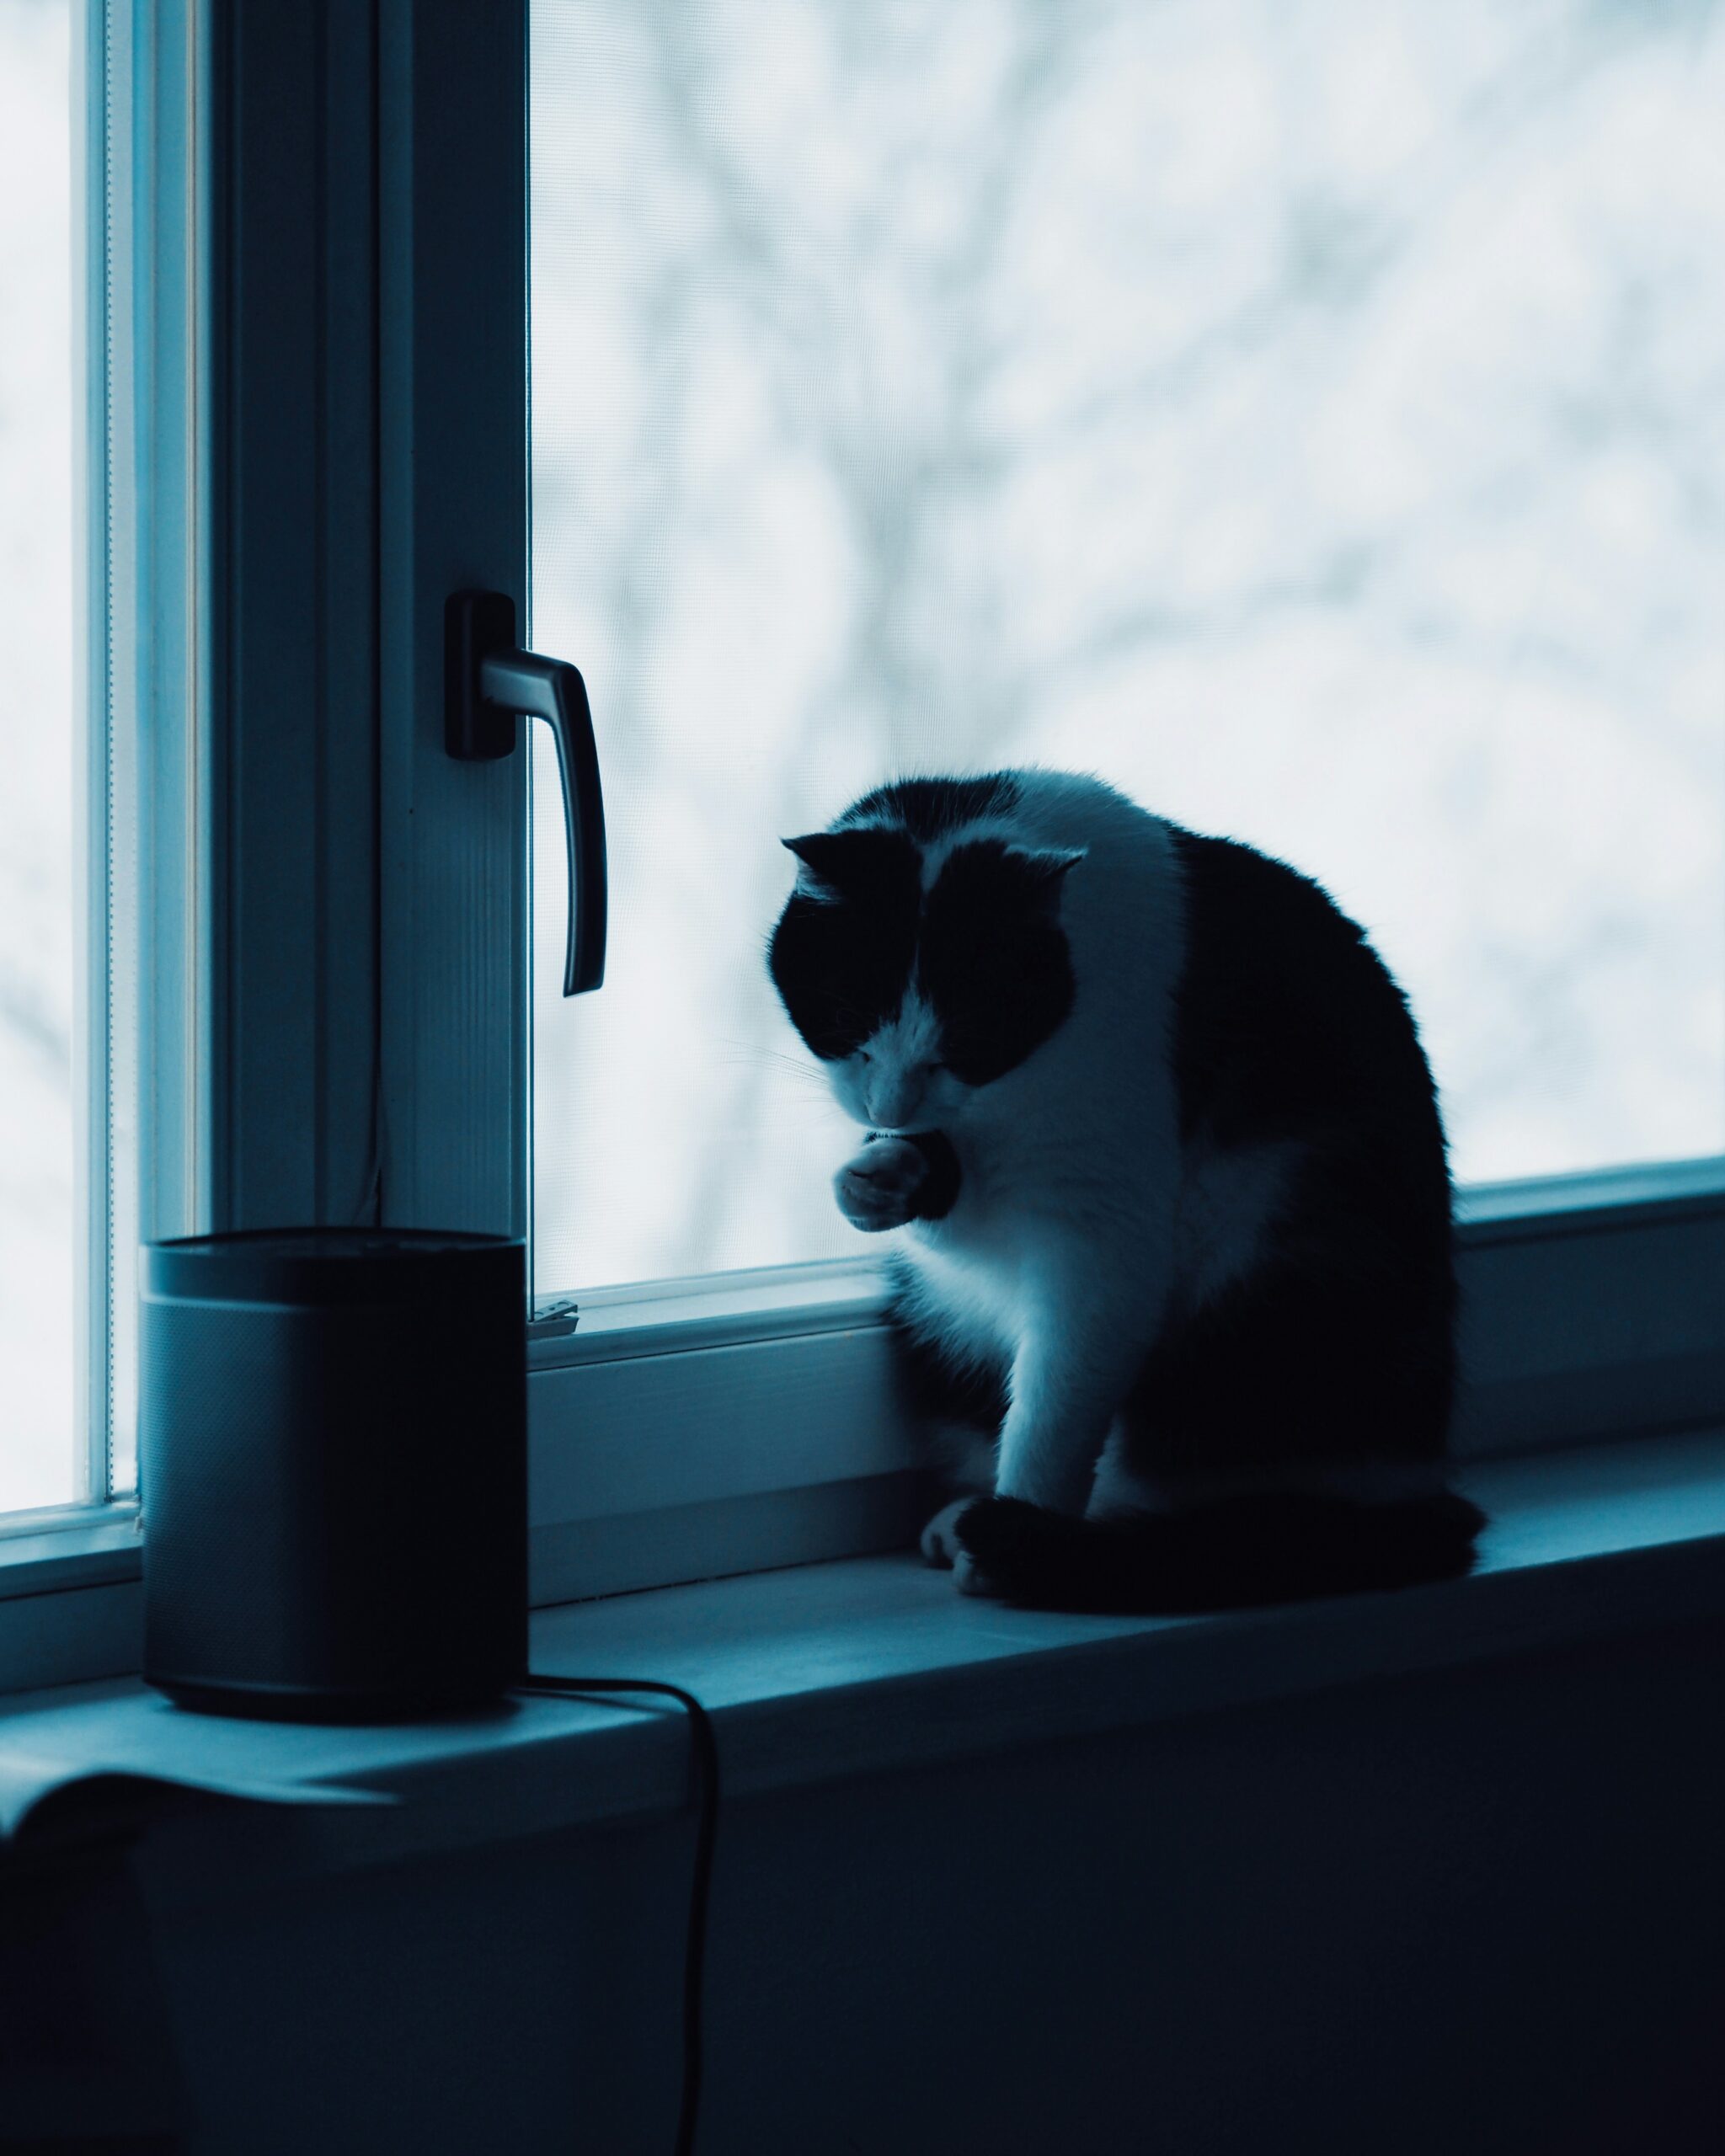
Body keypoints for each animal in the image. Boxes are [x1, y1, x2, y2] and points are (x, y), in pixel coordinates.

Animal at [767, 767, 1483, 1612]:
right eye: (846, 1021)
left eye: (966, 1040)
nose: (888, 1112)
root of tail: (1421, 1492)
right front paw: (879, 1182)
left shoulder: (1102, 1228)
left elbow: (1054, 1410)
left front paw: (1012, 1537)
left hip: (1281, 1271)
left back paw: (1062, 1545)